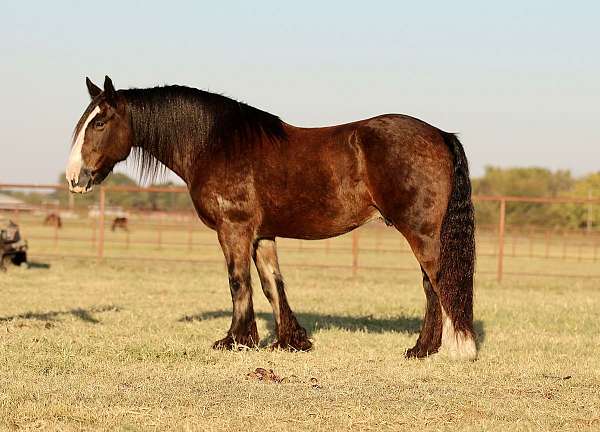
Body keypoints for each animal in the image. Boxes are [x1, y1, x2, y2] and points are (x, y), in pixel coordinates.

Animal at [65, 76, 476, 360]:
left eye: (99, 123)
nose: (74, 178)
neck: (215, 144)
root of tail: (440, 135)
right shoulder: (261, 235)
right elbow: (271, 284)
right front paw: (290, 341)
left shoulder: (234, 229)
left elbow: (238, 282)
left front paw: (235, 340)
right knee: (432, 286)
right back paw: (422, 349)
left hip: (421, 233)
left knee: (439, 283)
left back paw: (446, 349)